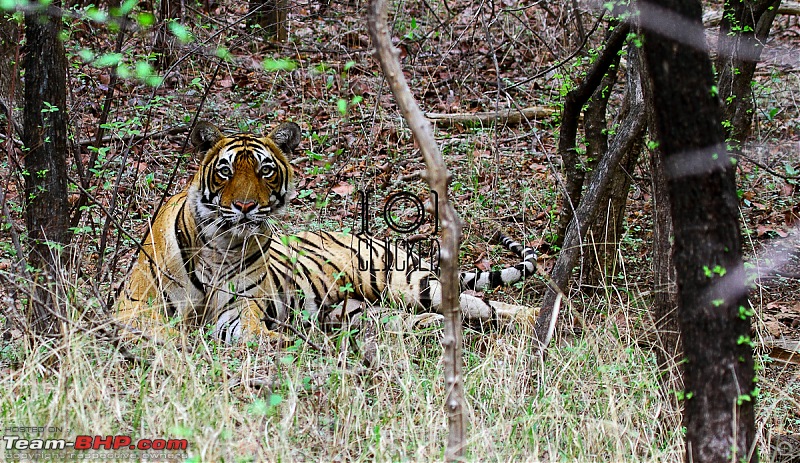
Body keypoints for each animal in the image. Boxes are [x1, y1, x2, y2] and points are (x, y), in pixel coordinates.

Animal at [117, 120, 536, 344]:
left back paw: (540, 322)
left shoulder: (241, 308)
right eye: (225, 171)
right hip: (359, 312)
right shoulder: (134, 308)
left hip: (404, 281)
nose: (246, 207)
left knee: (485, 305)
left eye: (265, 170)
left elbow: (251, 331)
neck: (221, 244)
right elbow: (165, 333)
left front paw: (277, 343)